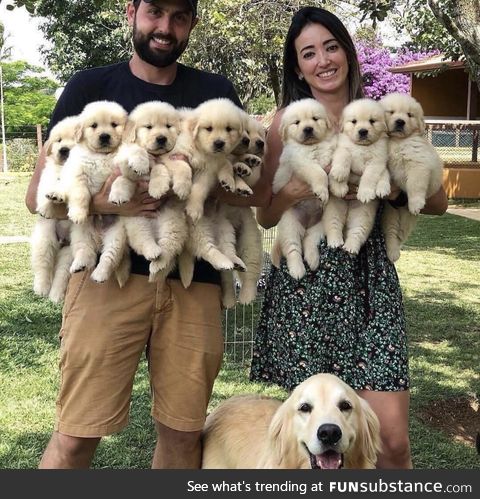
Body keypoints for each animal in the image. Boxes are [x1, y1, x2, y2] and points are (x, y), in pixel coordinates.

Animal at [30, 115, 78, 298]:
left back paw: (55, 295)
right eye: (59, 140)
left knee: (61, 273)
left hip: (68, 253)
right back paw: (41, 288)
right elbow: (47, 187)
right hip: (45, 240)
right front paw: (45, 207)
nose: (64, 150)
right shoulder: (48, 175)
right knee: (43, 267)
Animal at [272, 97, 336, 278]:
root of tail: (307, 223)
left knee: (309, 240)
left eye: (315, 119)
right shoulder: (301, 162)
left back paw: (313, 260)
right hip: (289, 222)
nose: (308, 129)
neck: (312, 146)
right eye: (297, 122)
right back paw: (297, 270)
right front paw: (322, 191)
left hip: (320, 223)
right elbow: (318, 172)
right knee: (292, 249)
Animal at [322, 97, 390, 254]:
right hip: (333, 209)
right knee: (333, 226)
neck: (362, 147)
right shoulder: (341, 148)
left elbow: (369, 177)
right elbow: (344, 157)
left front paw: (365, 193)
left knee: (357, 232)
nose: (363, 131)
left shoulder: (377, 161)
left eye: (372, 121)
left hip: (363, 216)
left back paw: (351, 247)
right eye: (353, 121)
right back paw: (335, 242)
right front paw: (339, 178)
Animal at [380, 93, 444, 262]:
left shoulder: (418, 165)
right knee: (391, 232)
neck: (397, 141)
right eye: (391, 112)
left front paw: (416, 203)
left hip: (406, 218)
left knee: (400, 234)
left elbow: (415, 185)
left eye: (409, 115)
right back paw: (392, 252)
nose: (400, 122)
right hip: (390, 213)